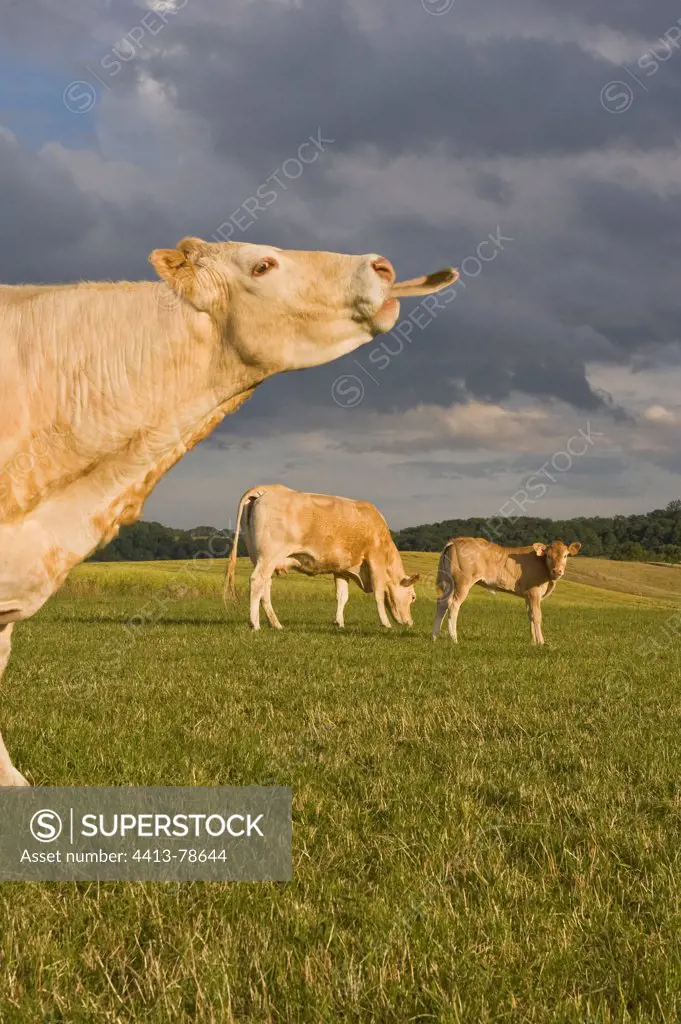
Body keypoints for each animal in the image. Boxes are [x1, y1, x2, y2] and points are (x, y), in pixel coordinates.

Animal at [223, 483, 419, 626]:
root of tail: (267, 488)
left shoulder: (342, 568)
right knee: (257, 582)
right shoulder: (375, 561)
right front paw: (386, 624)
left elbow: (342, 596)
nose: (410, 623)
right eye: (413, 597)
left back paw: (275, 624)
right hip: (268, 557)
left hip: (261, 559)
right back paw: (255, 624)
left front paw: (339, 622)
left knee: (265, 587)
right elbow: (378, 594)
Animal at [430, 540, 577, 643]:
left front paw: (533, 642)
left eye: (565, 555)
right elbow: (537, 616)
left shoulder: (527, 595)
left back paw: (434, 636)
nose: (557, 571)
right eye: (549, 556)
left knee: (442, 603)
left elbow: (530, 615)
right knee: (453, 604)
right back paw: (454, 639)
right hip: (462, 583)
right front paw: (541, 642)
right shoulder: (534, 592)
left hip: (449, 583)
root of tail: (455, 541)